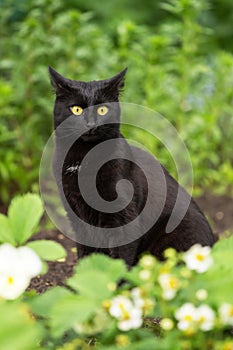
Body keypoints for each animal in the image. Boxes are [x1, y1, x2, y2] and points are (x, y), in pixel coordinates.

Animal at [49, 67, 215, 266]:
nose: (91, 124)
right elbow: (86, 251)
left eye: (103, 110)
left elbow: (120, 256)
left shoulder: (122, 216)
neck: (83, 158)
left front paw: (115, 275)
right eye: (76, 109)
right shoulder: (75, 213)